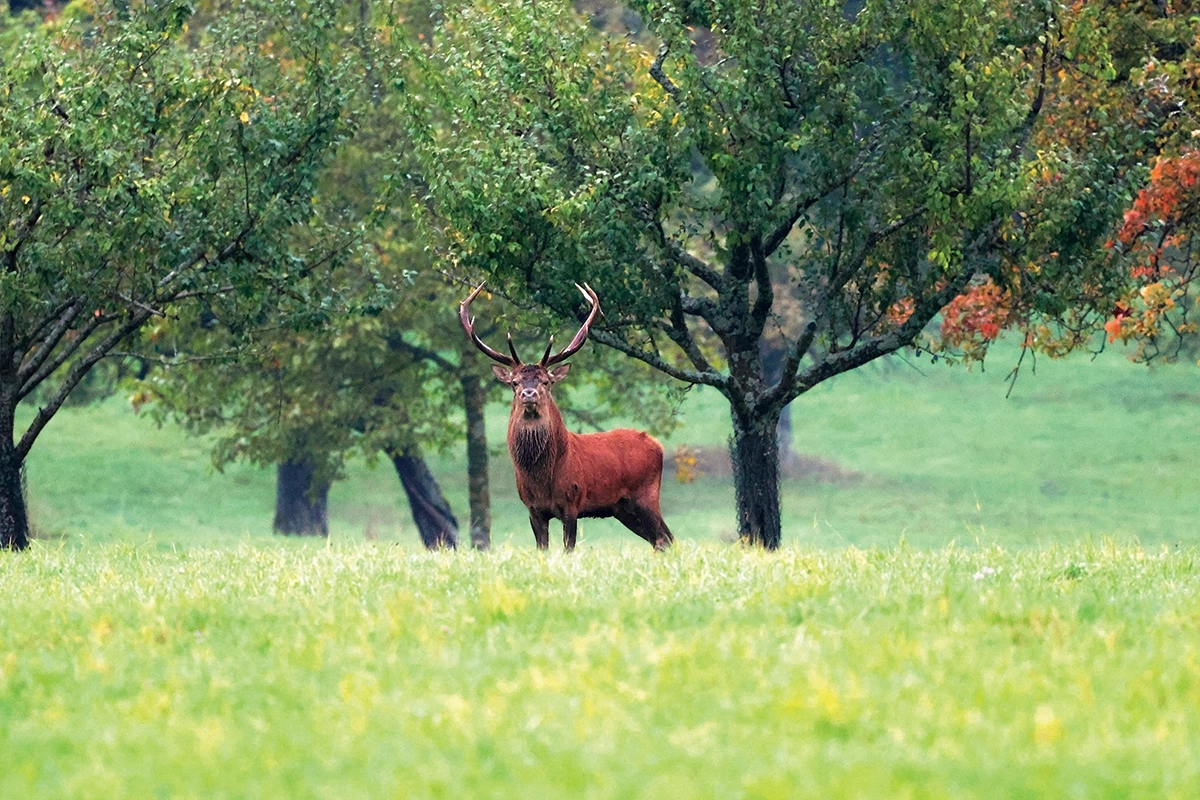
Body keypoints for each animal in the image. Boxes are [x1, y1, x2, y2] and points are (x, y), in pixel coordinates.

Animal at [460, 282, 674, 551]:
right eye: (514, 382)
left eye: (546, 381)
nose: (528, 393)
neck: (542, 479)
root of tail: (658, 445)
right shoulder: (533, 509)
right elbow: (542, 548)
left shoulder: (572, 502)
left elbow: (568, 549)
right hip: (623, 508)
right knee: (662, 539)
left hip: (645, 495)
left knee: (665, 538)